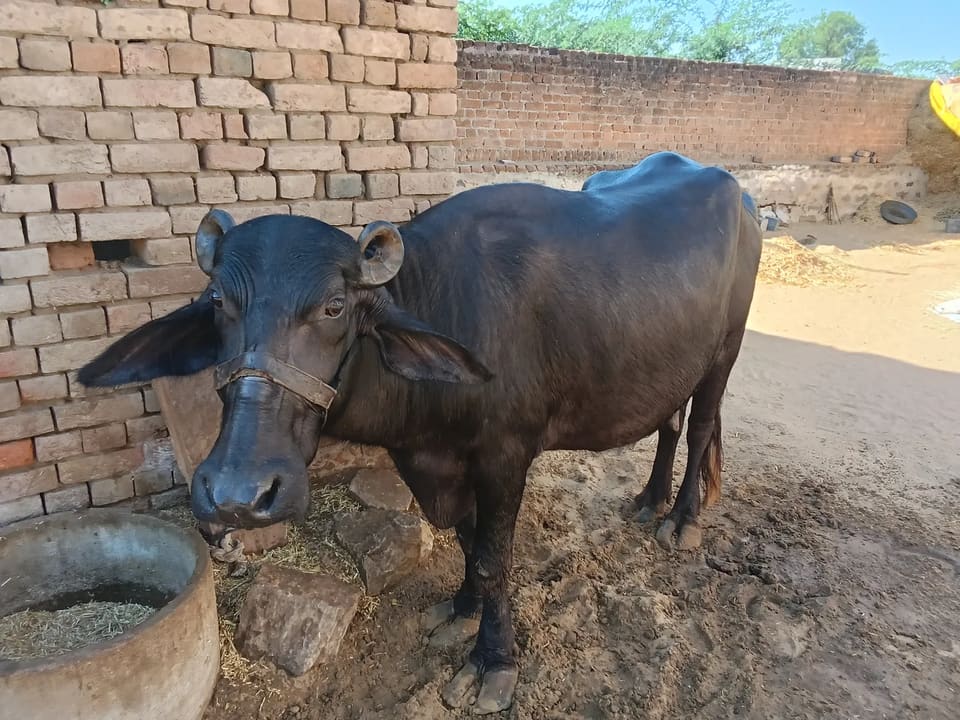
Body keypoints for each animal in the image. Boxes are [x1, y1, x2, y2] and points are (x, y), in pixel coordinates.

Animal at [79, 151, 762, 713]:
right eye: (220, 302)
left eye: (334, 307)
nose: (237, 495)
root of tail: (743, 199)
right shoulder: (439, 462)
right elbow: (466, 542)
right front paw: (461, 611)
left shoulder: (505, 457)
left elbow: (492, 558)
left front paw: (493, 663)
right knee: (670, 421)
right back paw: (648, 500)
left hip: (724, 353)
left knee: (701, 426)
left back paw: (682, 519)